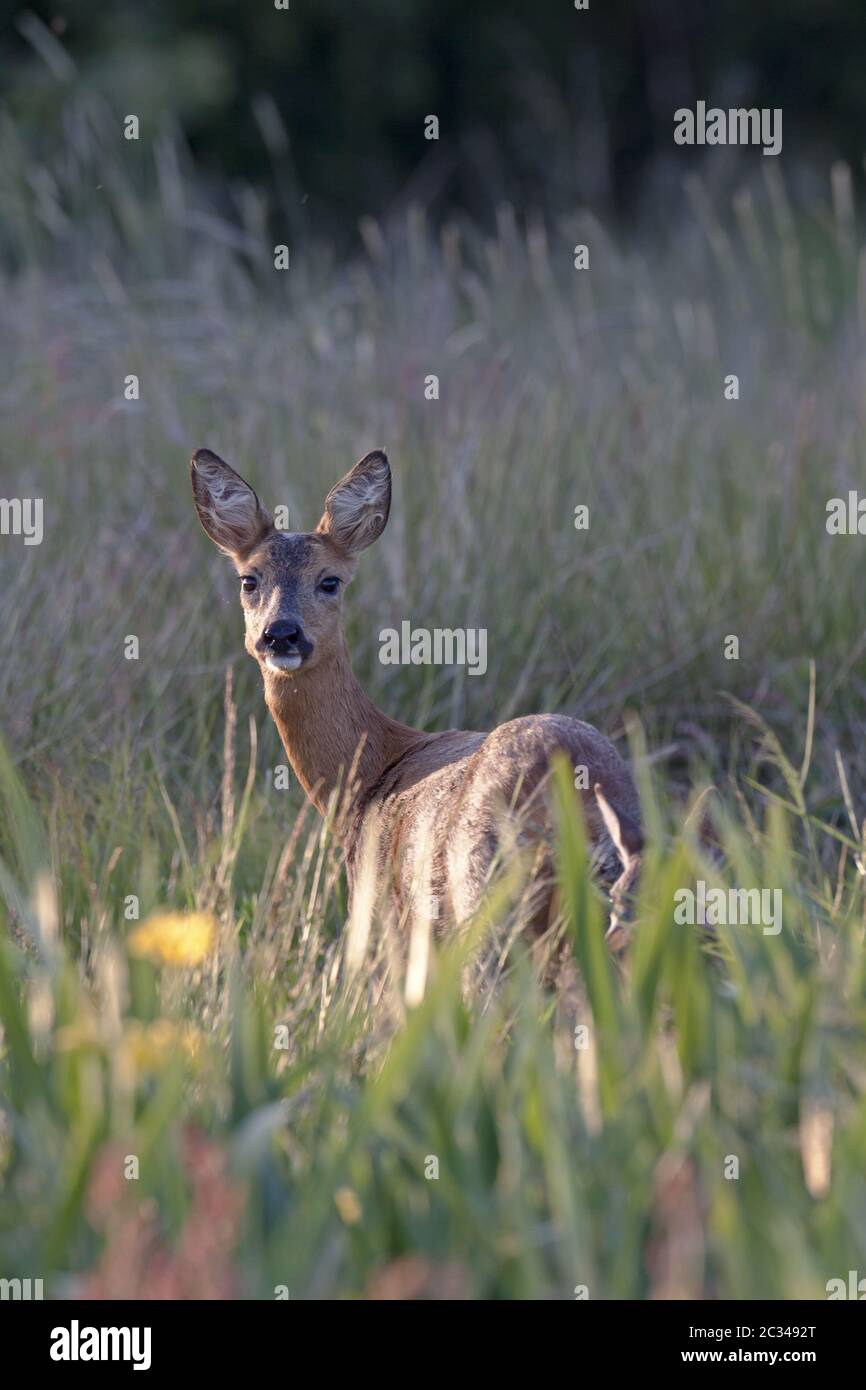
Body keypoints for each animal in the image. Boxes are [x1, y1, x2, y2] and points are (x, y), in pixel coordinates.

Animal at [189, 450, 644, 950]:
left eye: (330, 581)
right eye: (249, 580)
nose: (282, 633)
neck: (371, 774)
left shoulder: (387, 920)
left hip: (482, 903)